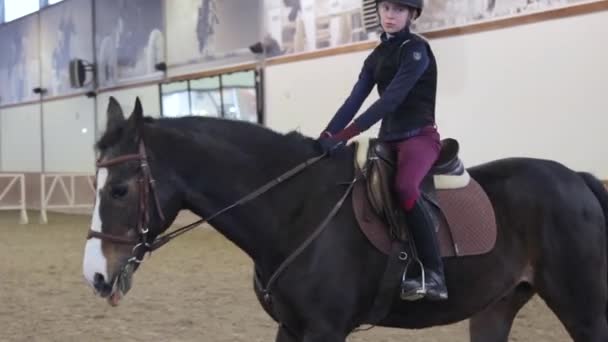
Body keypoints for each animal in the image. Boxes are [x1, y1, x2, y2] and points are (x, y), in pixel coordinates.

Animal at [82, 97, 608, 340]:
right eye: (95, 184)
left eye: (120, 189)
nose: (96, 275)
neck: (294, 210)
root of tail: (577, 179)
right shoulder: (291, 328)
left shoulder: (325, 330)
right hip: (495, 308)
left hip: (584, 311)